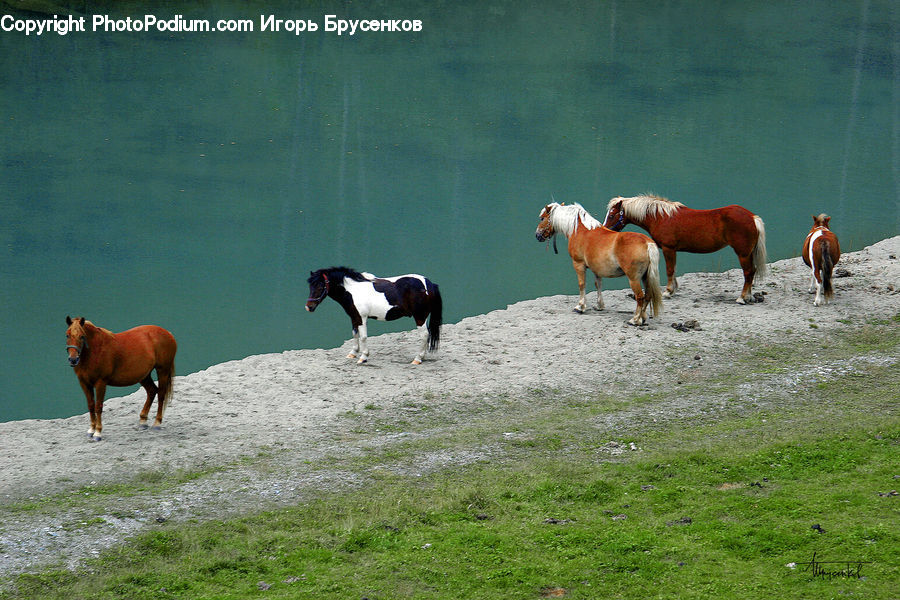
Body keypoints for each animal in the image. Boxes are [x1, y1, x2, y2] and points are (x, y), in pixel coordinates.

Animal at [306, 267, 442, 365]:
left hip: (420, 317)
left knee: (424, 335)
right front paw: (353, 353)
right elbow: (355, 334)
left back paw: (417, 359)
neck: (353, 290)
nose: (309, 307)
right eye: (310, 286)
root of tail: (430, 284)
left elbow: (363, 337)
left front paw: (363, 357)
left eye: (320, 286)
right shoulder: (354, 317)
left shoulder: (362, 318)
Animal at [535, 202, 663, 325]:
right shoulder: (596, 269)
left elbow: (582, 284)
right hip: (646, 276)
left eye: (542, 218)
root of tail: (647, 243)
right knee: (647, 296)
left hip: (634, 278)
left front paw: (580, 306)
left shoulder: (578, 264)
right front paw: (599, 305)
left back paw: (635, 320)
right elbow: (598, 285)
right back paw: (642, 318)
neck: (579, 230)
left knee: (640, 297)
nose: (537, 235)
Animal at [602, 194, 768, 304]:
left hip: (743, 253)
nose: (605, 229)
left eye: (612, 215)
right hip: (748, 253)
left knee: (748, 272)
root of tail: (752, 217)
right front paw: (673, 289)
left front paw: (668, 292)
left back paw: (742, 297)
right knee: (751, 272)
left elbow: (669, 269)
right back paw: (749, 296)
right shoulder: (672, 250)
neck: (661, 217)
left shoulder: (668, 248)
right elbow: (673, 269)